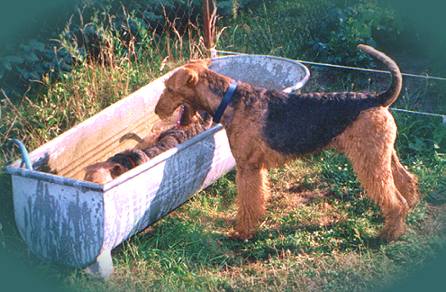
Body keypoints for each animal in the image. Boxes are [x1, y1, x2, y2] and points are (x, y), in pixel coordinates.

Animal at [154, 45, 418, 242]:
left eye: (169, 88)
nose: (157, 111)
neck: (230, 101)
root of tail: (377, 99)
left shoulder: (247, 167)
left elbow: (247, 201)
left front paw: (242, 232)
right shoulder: (255, 168)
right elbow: (257, 198)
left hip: (370, 161)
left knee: (394, 199)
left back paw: (388, 234)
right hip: (384, 154)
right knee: (407, 181)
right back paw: (410, 210)